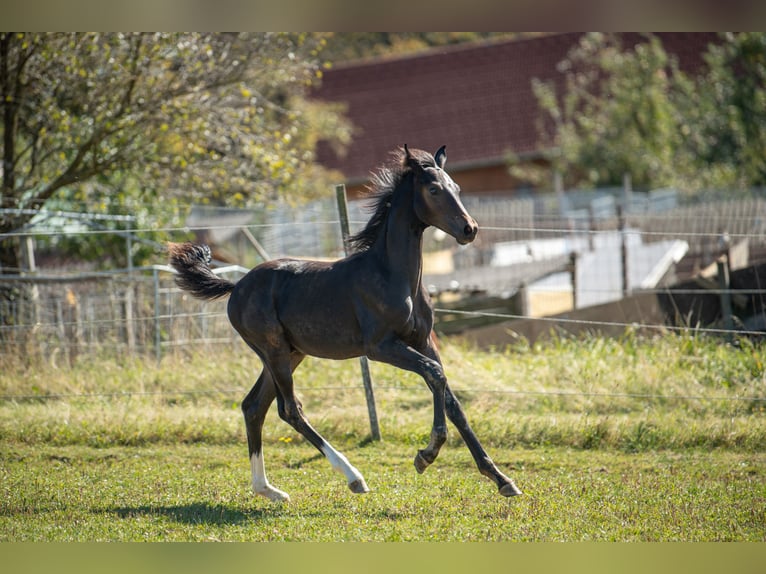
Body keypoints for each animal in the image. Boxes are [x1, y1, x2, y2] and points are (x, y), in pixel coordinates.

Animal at [168, 145, 522, 501]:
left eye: (457, 188)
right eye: (433, 190)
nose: (469, 229)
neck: (391, 275)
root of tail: (237, 286)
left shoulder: (423, 342)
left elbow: (451, 399)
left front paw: (501, 479)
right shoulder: (381, 347)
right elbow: (435, 375)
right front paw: (427, 454)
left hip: (290, 354)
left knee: (254, 406)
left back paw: (268, 489)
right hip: (274, 351)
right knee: (288, 408)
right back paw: (353, 476)